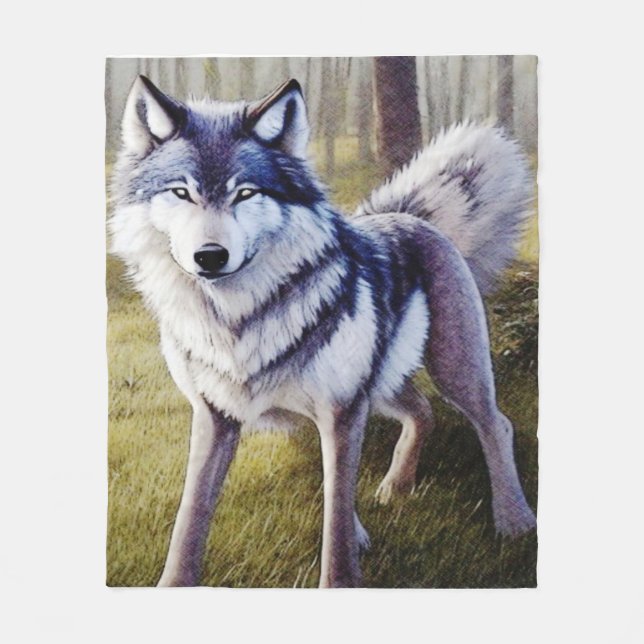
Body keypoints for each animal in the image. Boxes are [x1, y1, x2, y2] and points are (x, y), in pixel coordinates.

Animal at [109, 74, 537, 588]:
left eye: (245, 193)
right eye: (181, 192)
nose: (210, 257)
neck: (239, 321)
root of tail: (409, 216)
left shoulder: (340, 411)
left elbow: (334, 520)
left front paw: (342, 575)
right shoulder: (217, 416)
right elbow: (189, 518)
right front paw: (173, 584)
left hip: (453, 371)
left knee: (496, 424)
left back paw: (514, 520)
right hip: (381, 384)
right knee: (422, 411)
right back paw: (395, 488)